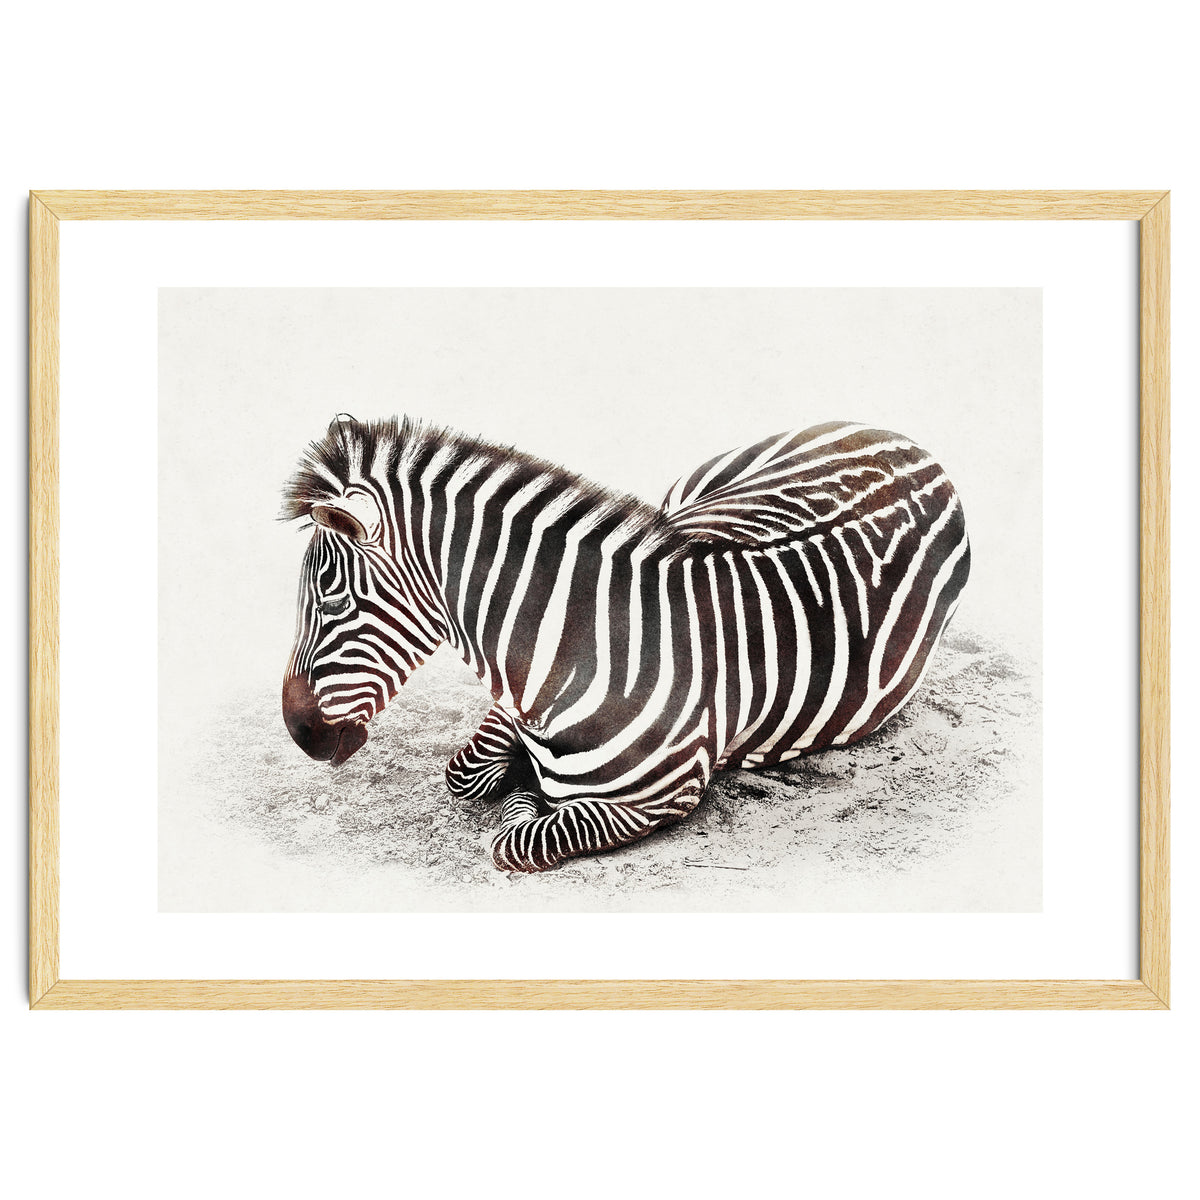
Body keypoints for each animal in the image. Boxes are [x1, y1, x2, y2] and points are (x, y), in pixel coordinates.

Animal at [282, 415, 970, 873]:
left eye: (333, 600)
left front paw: (527, 793)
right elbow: (467, 774)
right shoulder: (511, 703)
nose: (299, 733)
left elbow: (517, 836)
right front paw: (518, 776)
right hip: (688, 496)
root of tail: (918, 447)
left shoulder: (662, 797)